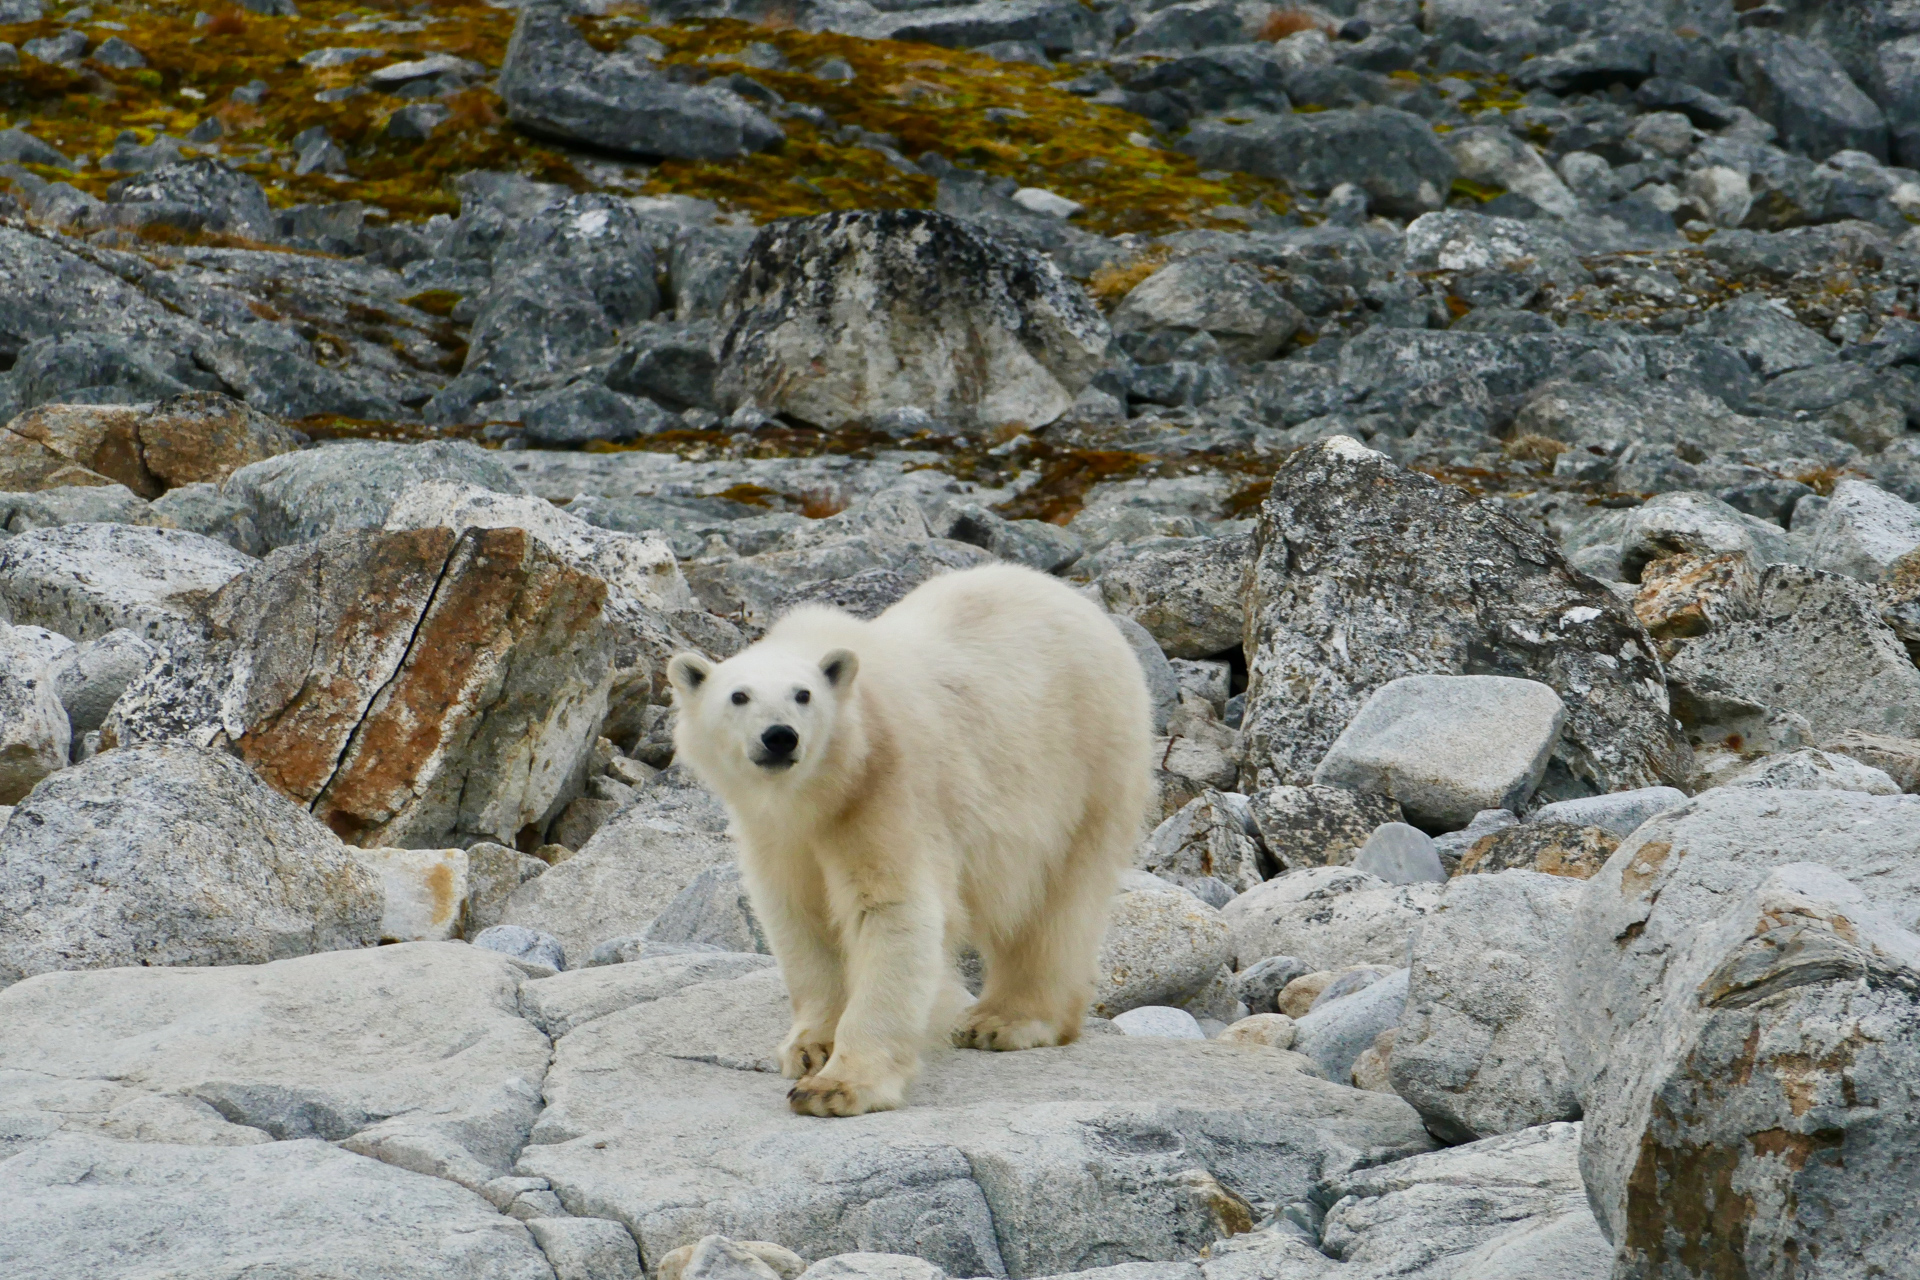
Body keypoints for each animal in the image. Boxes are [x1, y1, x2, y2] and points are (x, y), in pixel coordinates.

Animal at [672, 564, 1152, 1113]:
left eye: (803, 694)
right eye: (739, 695)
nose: (779, 736)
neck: (826, 787)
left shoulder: (887, 790)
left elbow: (891, 912)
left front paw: (836, 1087)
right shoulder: (775, 830)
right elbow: (800, 916)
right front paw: (810, 1048)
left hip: (1087, 765)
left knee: (1058, 902)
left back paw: (1005, 1020)